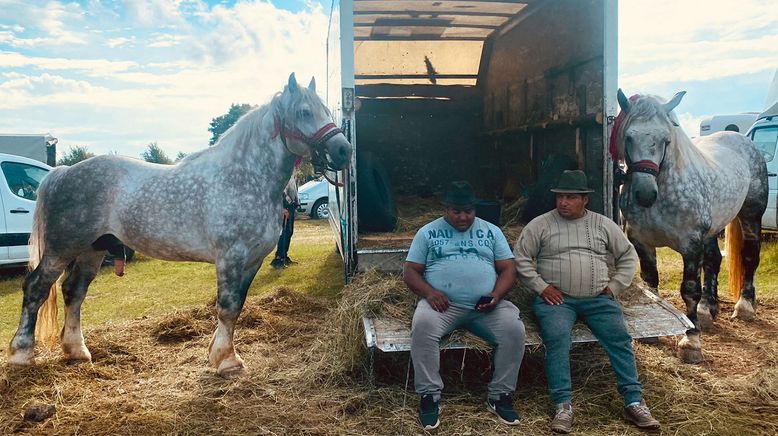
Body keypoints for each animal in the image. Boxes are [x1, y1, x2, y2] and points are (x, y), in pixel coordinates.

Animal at [5, 73, 352, 376]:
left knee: (73, 291)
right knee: (36, 287)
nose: (343, 150)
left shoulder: (253, 260)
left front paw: (221, 355)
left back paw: (77, 350)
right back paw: (22, 353)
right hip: (61, 249)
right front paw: (227, 362)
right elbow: (227, 307)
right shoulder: (231, 257)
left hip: (93, 249)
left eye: (325, 110)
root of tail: (62, 172)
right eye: (304, 112)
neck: (244, 177)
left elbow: (237, 306)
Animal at [616, 89, 768, 364]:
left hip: (751, 215)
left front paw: (691, 341)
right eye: (629, 137)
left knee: (750, 257)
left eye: (666, 139)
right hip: (712, 230)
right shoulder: (641, 241)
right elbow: (650, 281)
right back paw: (708, 310)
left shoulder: (691, 245)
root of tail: (743, 141)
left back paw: (744, 307)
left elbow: (689, 291)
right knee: (713, 261)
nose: (645, 194)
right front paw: (653, 334)